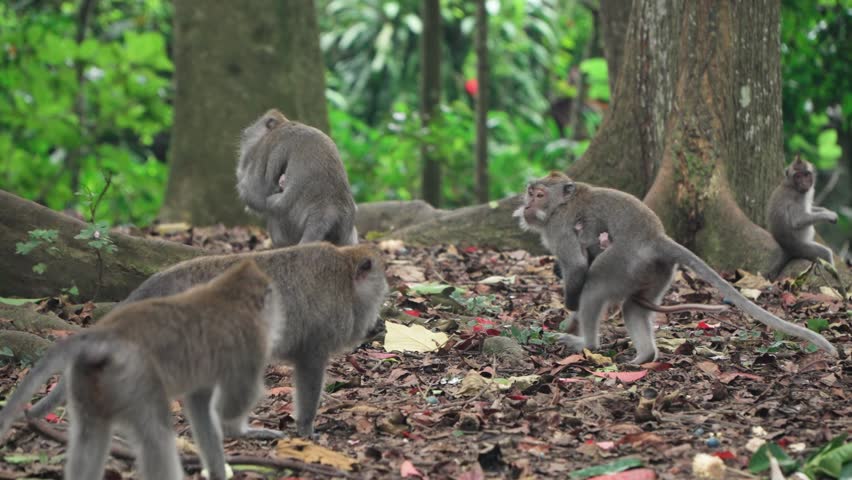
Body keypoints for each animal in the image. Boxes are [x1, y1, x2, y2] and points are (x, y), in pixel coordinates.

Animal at [0, 260, 279, 480]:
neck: (227, 295)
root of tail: (105, 336)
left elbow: (200, 402)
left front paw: (219, 470)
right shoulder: (252, 342)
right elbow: (235, 400)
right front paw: (243, 431)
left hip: (89, 379)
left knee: (90, 435)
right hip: (134, 377)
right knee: (156, 435)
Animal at [28, 243, 389, 439]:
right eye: (382, 281)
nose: (379, 319)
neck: (344, 275)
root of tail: (157, 283)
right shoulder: (318, 335)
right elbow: (310, 369)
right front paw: (306, 428)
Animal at [236, 109, 359, 246]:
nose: (246, 133)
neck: (282, 124)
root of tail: (326, 212)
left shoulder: (265, 148)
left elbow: (255, 194)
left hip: (289, 219)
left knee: (271, 204)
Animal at [515, 172, 837, 364]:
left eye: (539, 195)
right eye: (530, 192)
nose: (527, 206)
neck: (559, 206)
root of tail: (657, 238)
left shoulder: (559, 228)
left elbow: (579, 267)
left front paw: (571, 308)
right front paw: (570, 318)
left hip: (624, 261)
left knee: (595, 286)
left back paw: (588, 345)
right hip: (655, 273)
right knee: (634, 307)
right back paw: (643, 357)